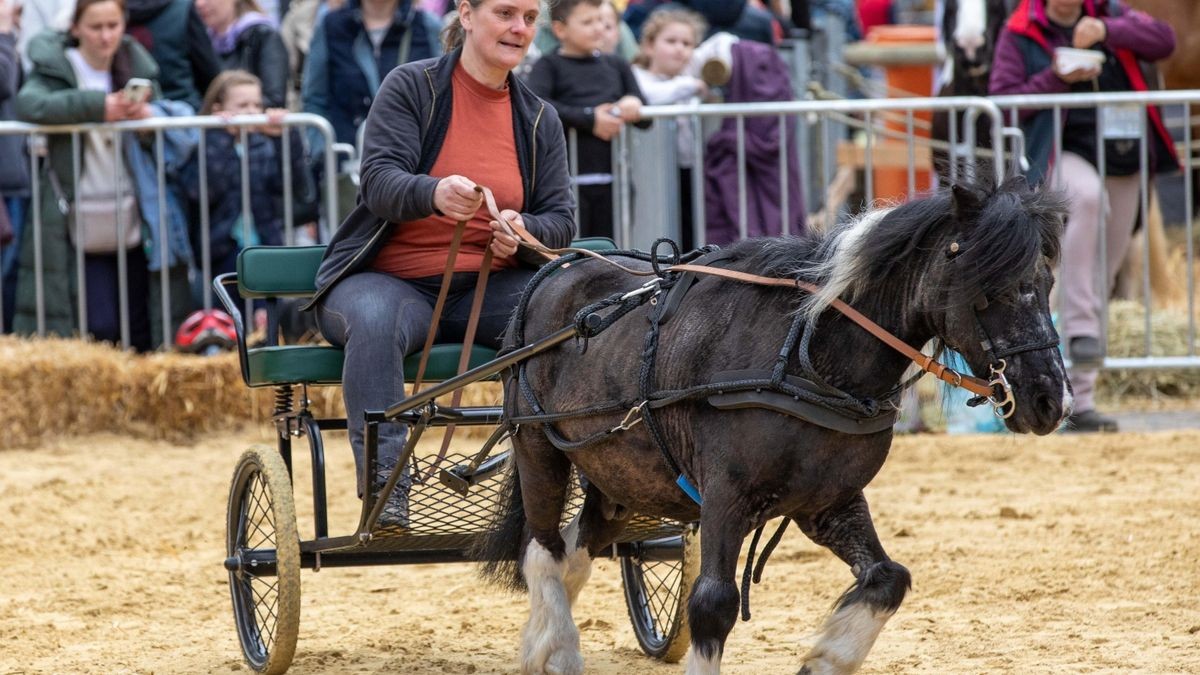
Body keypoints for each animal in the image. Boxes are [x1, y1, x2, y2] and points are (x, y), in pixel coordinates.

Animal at [476, 174, 1072, 674]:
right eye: (990, 287)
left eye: (1046, 283)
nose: (1051, 400)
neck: (807, 356)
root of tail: (557, 270)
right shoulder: (725, 496)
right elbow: (713, 603)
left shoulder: (829, 501)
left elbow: (888, 579)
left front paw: (826, 658)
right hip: (538, 445)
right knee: (542, 550)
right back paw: (553, 650)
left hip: (619, 473)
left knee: (577, 547)